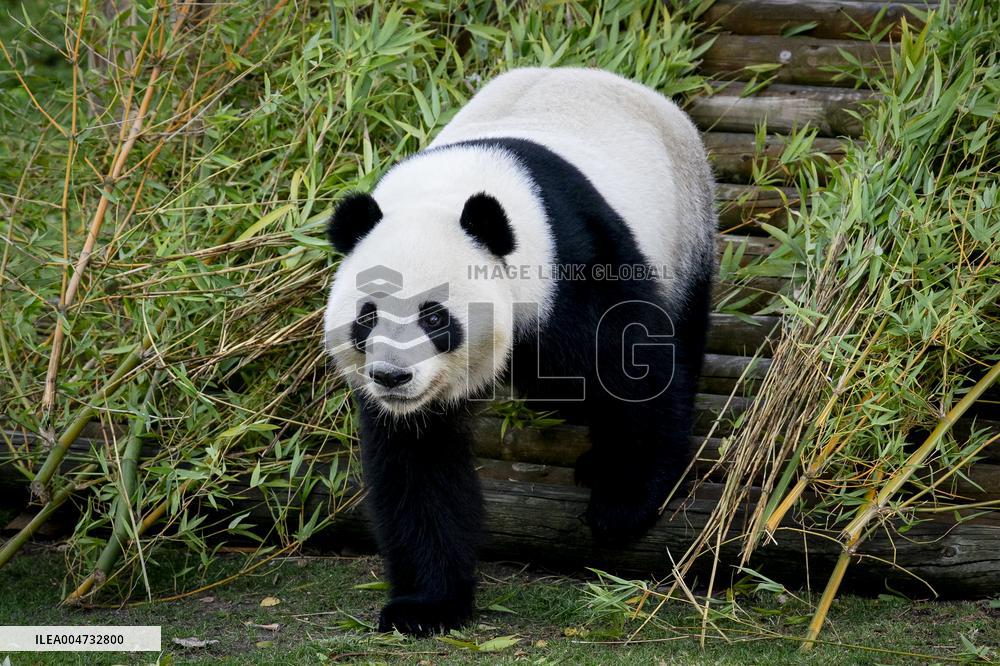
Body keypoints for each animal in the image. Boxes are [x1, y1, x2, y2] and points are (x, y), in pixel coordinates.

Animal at [323, 67, 716, 636]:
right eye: (367, 316)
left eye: (434, 317)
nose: (392, 378)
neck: (446, 193)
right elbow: (417, 466)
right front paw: (426, 605)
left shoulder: (572, 262)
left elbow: (632, 367)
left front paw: (623, 502)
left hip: (687, 224)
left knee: (679, 328)